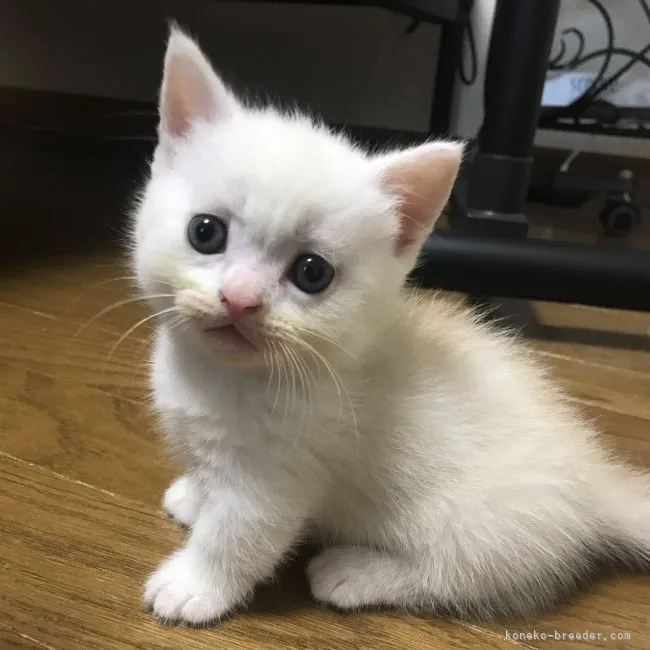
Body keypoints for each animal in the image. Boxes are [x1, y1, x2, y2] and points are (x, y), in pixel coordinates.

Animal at [133, 25, 648, 624]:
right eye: (206, 232)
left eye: (312, 273)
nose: (240, 300)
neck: (218, 378)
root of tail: (592, 482)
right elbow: (208, 480)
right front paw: (195, 497)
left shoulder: (276, 478)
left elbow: (238, 536)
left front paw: (194, 584)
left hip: (469, 522)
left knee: (451, 575)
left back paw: (355, 571)